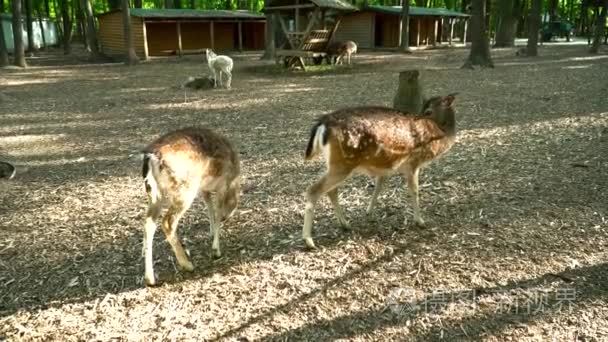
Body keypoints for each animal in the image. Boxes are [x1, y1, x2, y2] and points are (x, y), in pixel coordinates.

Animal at [141, 127, 240, 284]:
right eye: (233, 205)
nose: (227, 217)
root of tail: (151, 158)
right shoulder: (221, 185)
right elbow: (217, 211)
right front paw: (216, 250)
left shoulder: (205, 188)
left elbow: (209, 205)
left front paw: (211, 232)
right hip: (185, 188)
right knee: (167, 222)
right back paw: (187, 264)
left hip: (155, 193)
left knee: (148, 223)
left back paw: (150, 278)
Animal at [302, 93, 458, 248]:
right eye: (426, 111)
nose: (420, 116)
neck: (440, 135)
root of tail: (322, 124)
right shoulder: (413, 163)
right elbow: (414, 190)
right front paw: (420, 221)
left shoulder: (386, 166)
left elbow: (378, 187)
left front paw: (369, 212)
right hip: (342, 163)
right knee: (313, 190)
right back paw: (309, 240)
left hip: (336, 164)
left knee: (331, 190)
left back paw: (345, 224)